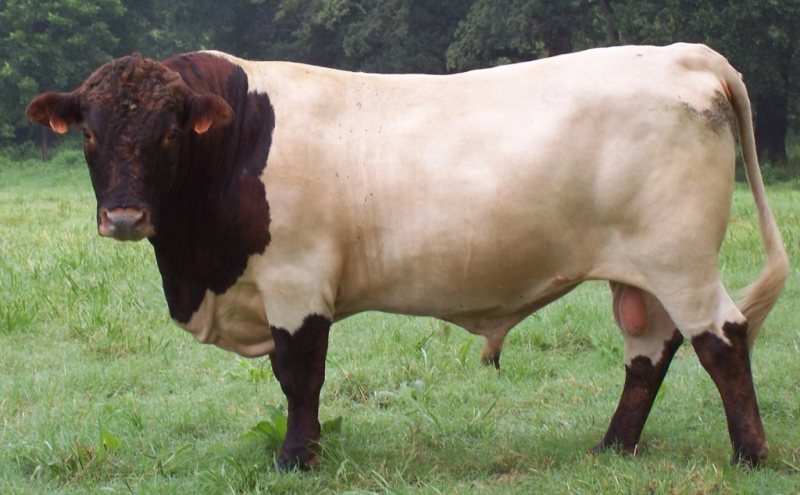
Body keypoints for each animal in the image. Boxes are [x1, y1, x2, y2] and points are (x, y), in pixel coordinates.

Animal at [27, 43, 788, 470]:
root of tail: (684, 54)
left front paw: (296, 459)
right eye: (90, 133)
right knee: (649, 351)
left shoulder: (297, 282)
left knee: (722, 339)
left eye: (168, 133)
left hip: (682, 261)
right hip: (644, 272)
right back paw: (613, 448)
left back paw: (749, 455)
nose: (124, 215)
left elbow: (299, 377)